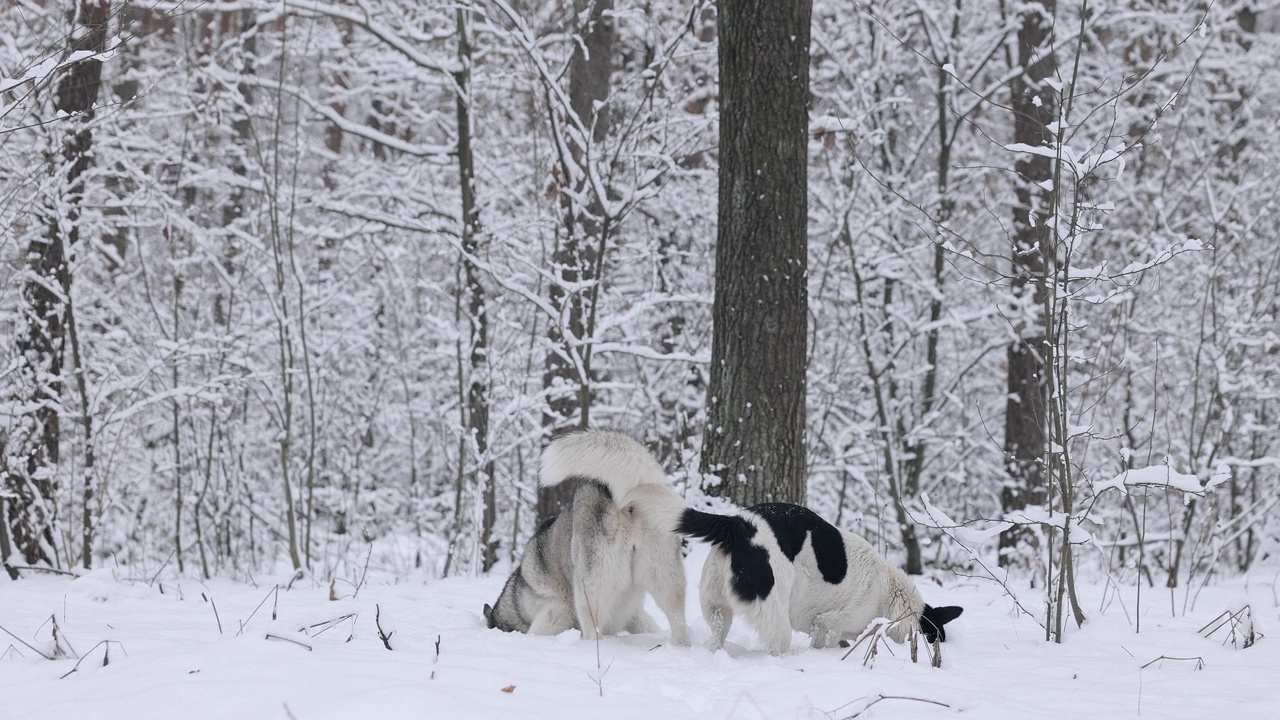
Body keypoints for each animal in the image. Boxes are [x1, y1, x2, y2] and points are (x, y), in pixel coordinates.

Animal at [481, 425, 691, 645]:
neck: (517, 598)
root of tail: (623, 502)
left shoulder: (557, 610)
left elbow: (535, 631)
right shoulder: (634, 614)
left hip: (588, 592)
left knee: (593, 633)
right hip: (666, 580)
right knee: (678, 621)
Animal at [680, 502, 962, 653]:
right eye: (934, 638)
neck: (892, 597)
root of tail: (739, 524)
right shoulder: (828, 624)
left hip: (717, 609)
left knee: (717, 638)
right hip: (776, 617)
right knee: (775, 646)